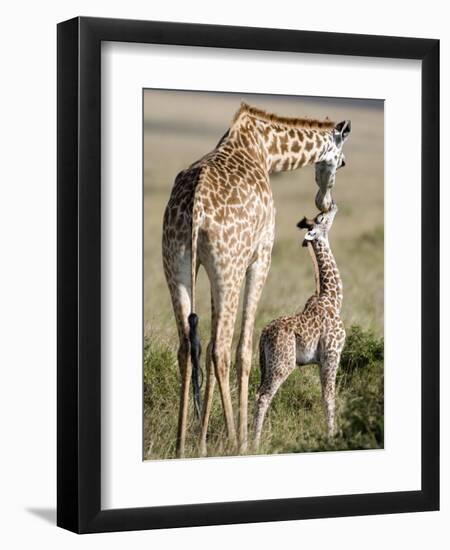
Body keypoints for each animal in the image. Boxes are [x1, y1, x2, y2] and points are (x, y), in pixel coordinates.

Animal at [253, 204, 344, 452]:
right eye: (322, 218)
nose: (333, 206)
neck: (333, 298)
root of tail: (263, 336)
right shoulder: (332, 354)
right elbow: (329, 397)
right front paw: (331, 437)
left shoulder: (322, 360)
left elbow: (325, 396)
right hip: (282, 364)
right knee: (263, 397)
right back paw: (252, 444)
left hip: (266, 364)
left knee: (256, 393)